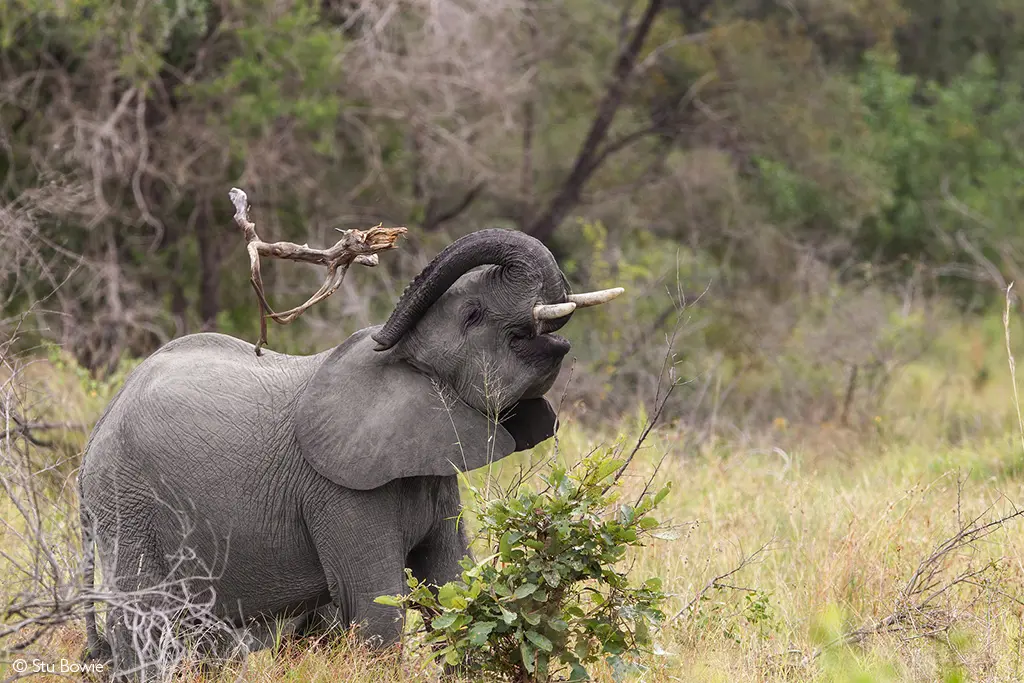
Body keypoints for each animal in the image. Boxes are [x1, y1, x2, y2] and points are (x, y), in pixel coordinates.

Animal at [77, 228, 623, 678]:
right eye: (473, 316)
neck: (397, 356)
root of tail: (97, 431)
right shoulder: (337, 491)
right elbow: (376, 607)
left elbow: (455, 589)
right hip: (127, 506)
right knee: (144, 623)